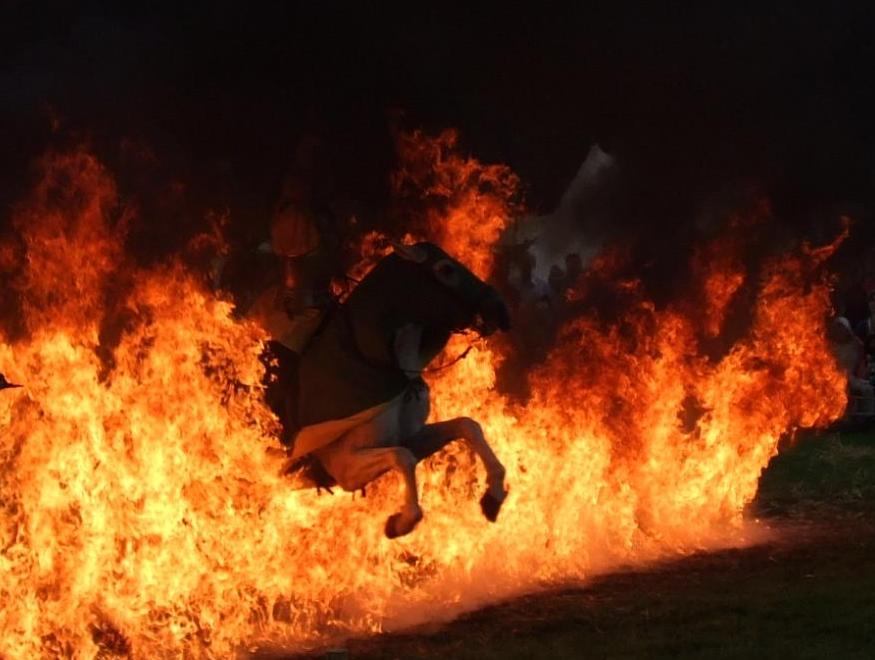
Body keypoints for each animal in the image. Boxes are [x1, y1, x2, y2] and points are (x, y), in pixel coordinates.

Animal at [270, 240, 510, 540]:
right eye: (446, 269)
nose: (501, 309)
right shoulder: (345, 468)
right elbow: (402, 457)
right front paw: (402, 521)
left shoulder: (411, 436)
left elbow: (467, 426)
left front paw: (494, 494)